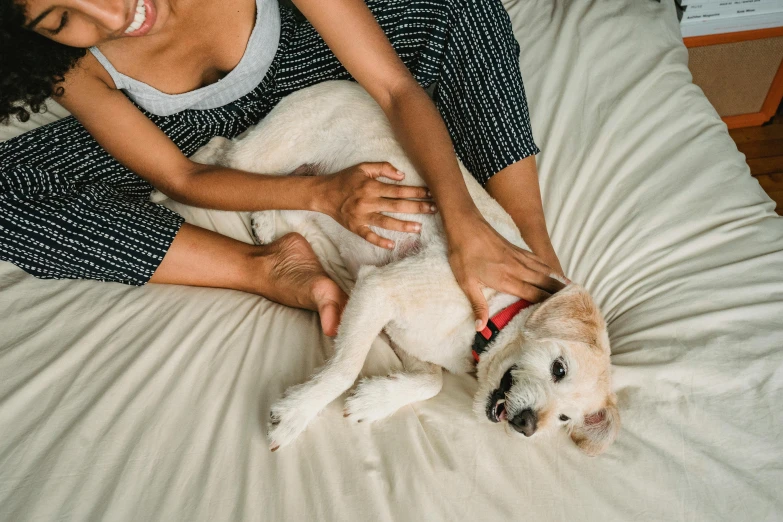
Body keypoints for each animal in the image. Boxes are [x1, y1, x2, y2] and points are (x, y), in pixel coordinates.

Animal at [193, 79, 620, 452]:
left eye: (564, 419)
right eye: (559, 368)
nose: (528, 426)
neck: (487, 324)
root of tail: (339, 82)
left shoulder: (402, 332)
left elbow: (431, 381)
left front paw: (372, 401)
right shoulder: (380, 289)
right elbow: (345, 368)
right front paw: (298, 413)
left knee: (290, 196)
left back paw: (270, 221)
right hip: (267, 151)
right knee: (221, 155)